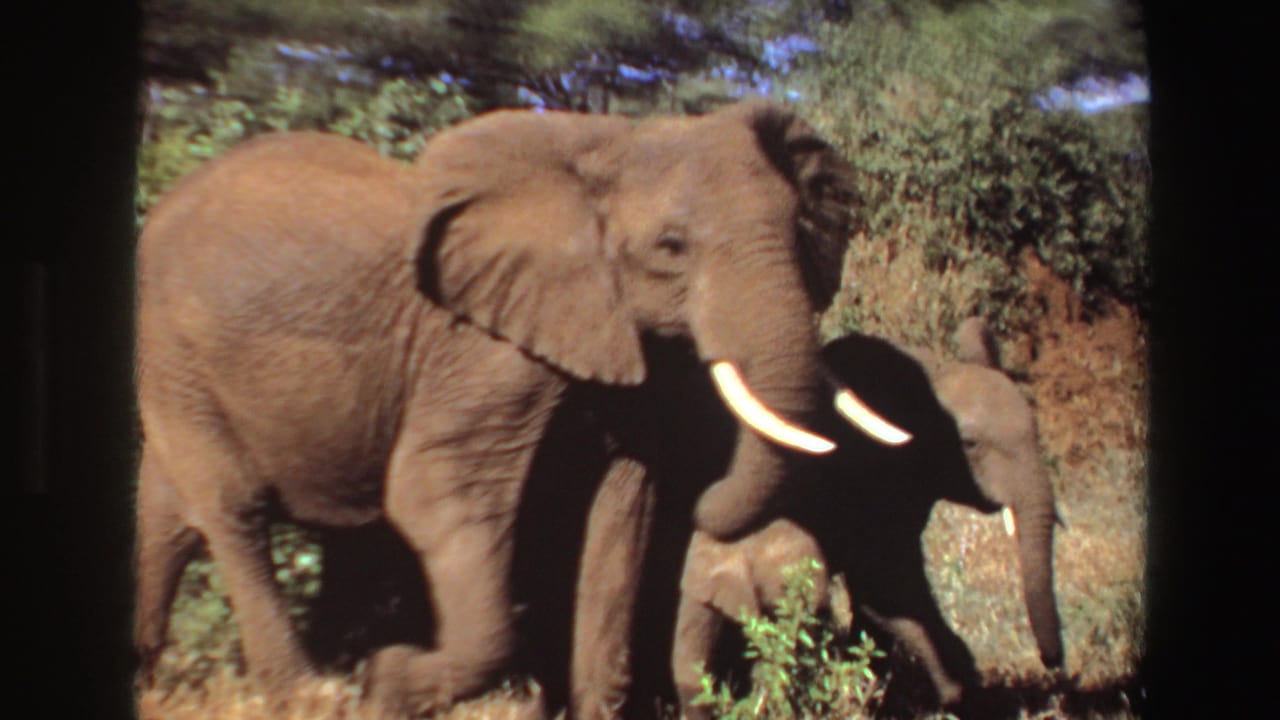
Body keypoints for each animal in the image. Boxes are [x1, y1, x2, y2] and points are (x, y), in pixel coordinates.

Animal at [132, 99, 910, 719]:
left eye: (801, 229)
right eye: (671, 247)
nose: (713, 495)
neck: (613, 144)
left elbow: (620, 517)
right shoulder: (484, 352)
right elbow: (433, 495)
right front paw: (388, 682)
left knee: (168, 514)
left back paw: (146, 671)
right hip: (175, 350)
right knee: (233, 507)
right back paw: (310, 695)